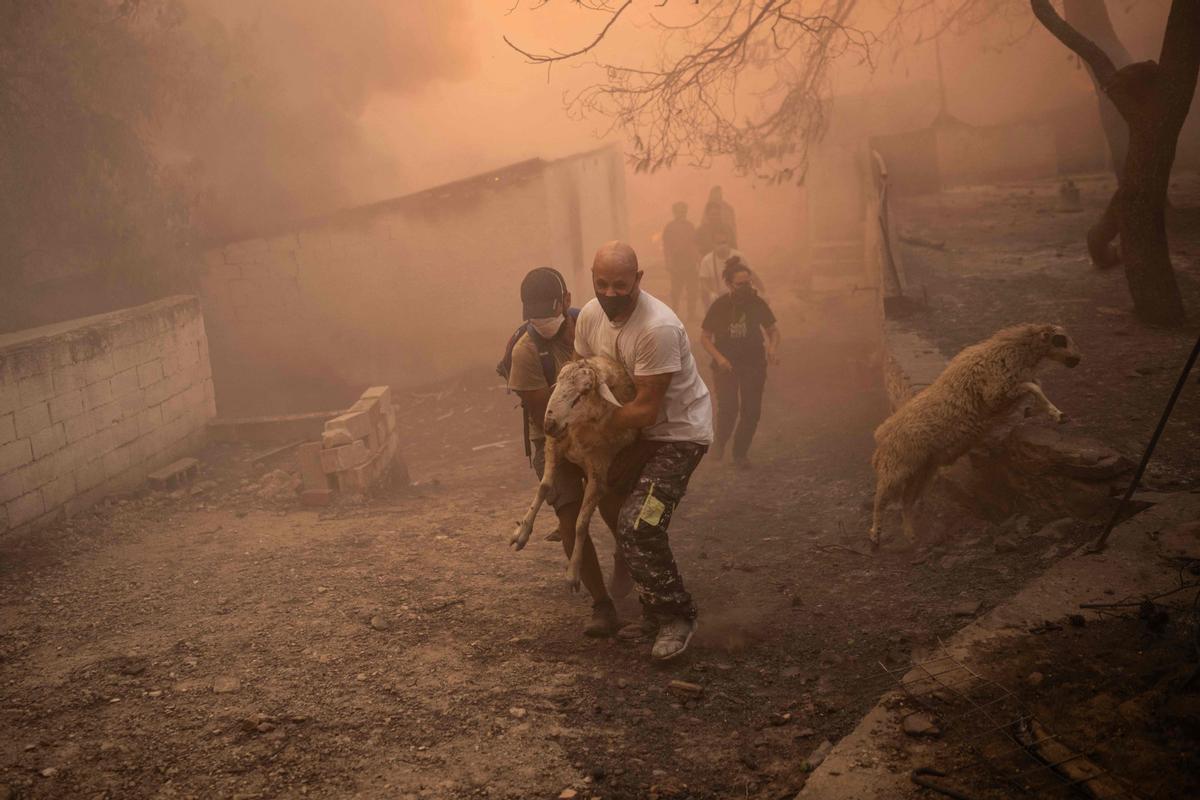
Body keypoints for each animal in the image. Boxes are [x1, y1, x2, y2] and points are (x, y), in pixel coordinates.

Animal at [506, 355, 638, 587]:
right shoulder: (554, 444)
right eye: (558, 382)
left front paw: (573, 573)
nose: (548, 424)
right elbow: (544, 487)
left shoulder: (599, 473)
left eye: (584, 392)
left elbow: (581, 524)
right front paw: (521, 533)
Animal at [868, 321, 1084, 551]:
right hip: (895, 468)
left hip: (921, 470)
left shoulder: (1008, 391)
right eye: (1060, 339)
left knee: (906, 502)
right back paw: (875, 535)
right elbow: (1033, 386)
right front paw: (1052, 413)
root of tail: (881, 434)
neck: (1012, 351)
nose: (1076, 360)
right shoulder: (996, 393)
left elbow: (1035, 385)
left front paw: (1045, 412)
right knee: (880, 499)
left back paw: (910, 536)